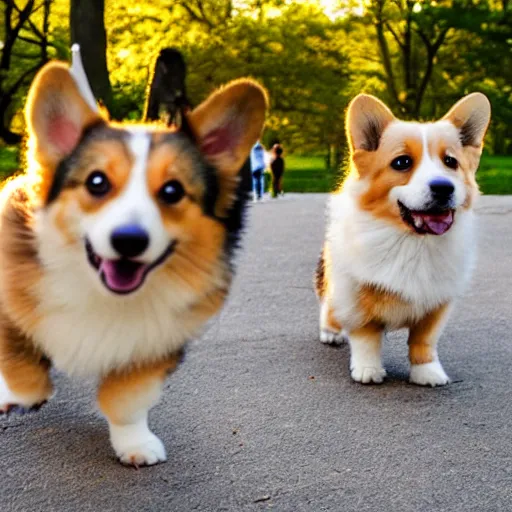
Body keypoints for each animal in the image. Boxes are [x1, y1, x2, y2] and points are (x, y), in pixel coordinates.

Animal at [316, 94, 492, 386]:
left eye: (451, 162)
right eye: (402, 163)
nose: (443, 188)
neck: (413, 241)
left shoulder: (437, 303)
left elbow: (423, 341)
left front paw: (427, 372)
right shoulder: (355, 295)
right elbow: (366, 337)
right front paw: (368, 370)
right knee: (329, 303)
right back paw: (330, 331)